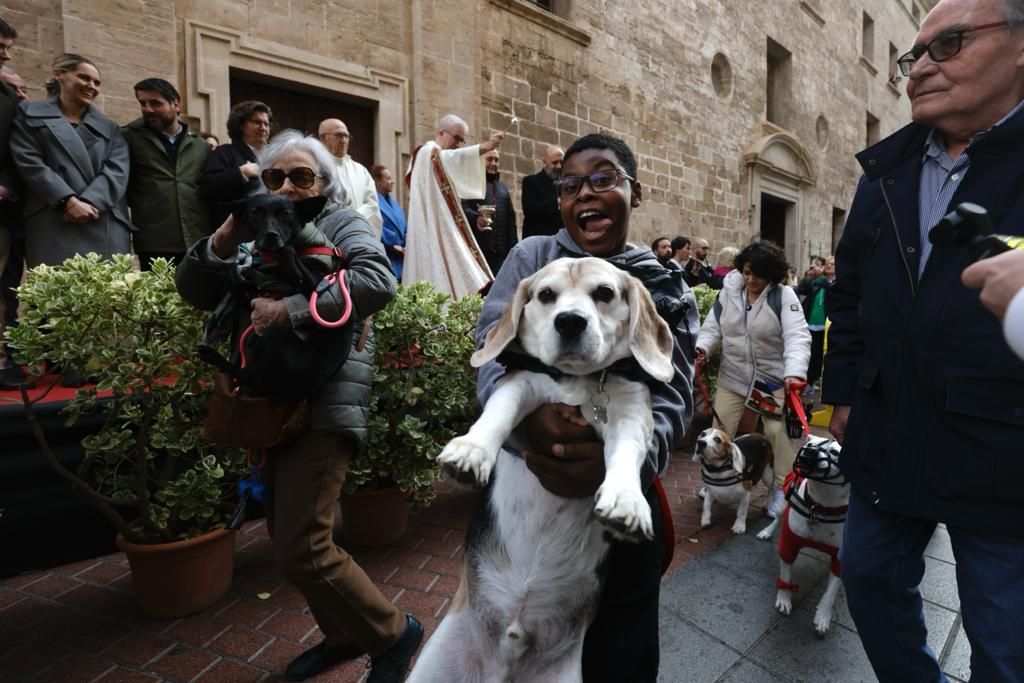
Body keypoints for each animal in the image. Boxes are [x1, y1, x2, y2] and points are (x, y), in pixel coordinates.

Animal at [403, 258, 675, 683]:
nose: (570, 322)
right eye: (546, 295)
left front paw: (627, 502)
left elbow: (626, 453)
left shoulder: (630, 412)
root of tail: (504, 665)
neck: (578, 381)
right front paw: (471, 451)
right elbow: (498, 415)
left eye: (605, 293)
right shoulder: (521, 385)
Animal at [753, 436, 847, 638]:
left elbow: (831, 592)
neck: (819, 508)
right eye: (810, 444)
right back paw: (767, 531)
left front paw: (823, 616)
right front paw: (784, 599)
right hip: (783, 505)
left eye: (835, 452)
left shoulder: (840, 559)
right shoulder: (788, 544)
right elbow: (785, 576)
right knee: (777, 518)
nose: (809, 451)